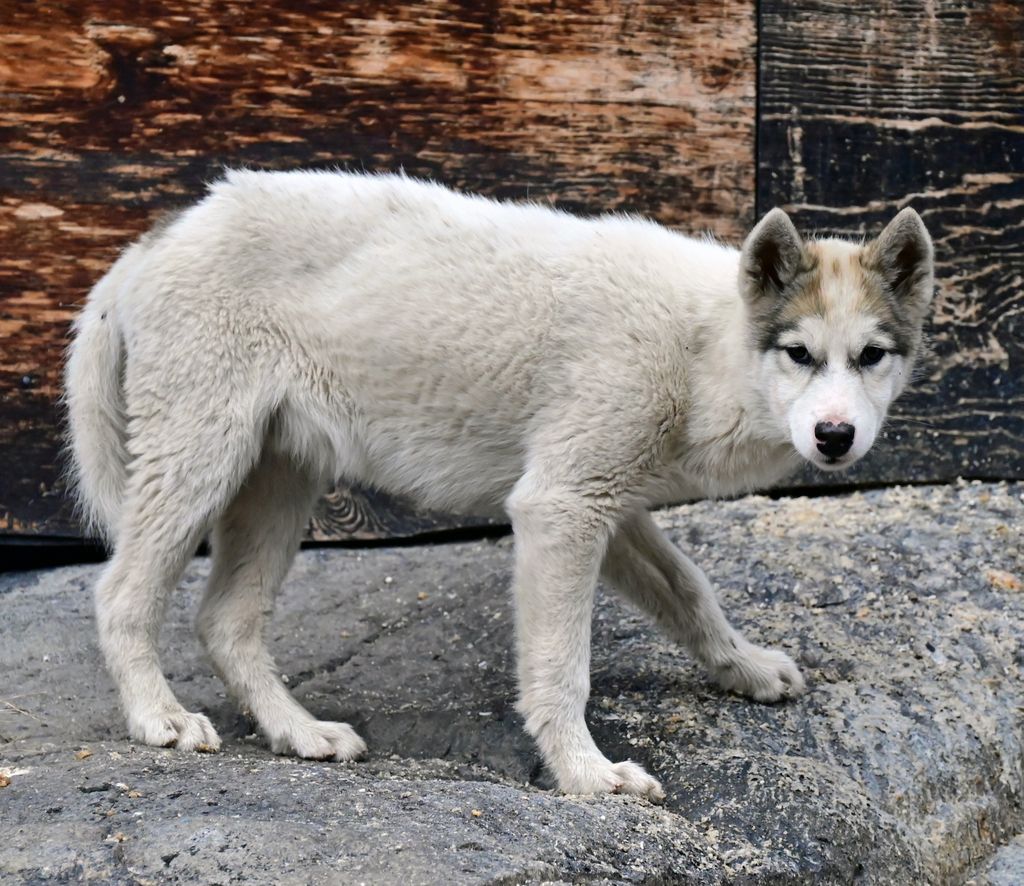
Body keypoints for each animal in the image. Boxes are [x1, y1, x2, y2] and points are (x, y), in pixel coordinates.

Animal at [61, 169, 929, 798]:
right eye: (799, 354)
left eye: (871, 357)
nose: (835, 437)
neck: (704, 344)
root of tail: (157, 237)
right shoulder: (560, 508)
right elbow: (561, 670)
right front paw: (588, 776)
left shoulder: (604, 509)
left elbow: (691, 591)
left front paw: (742, 668)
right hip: (200, 461)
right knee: (121, 596)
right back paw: (160, 719)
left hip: (278, 483)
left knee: (225, 622)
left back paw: (299, 733)